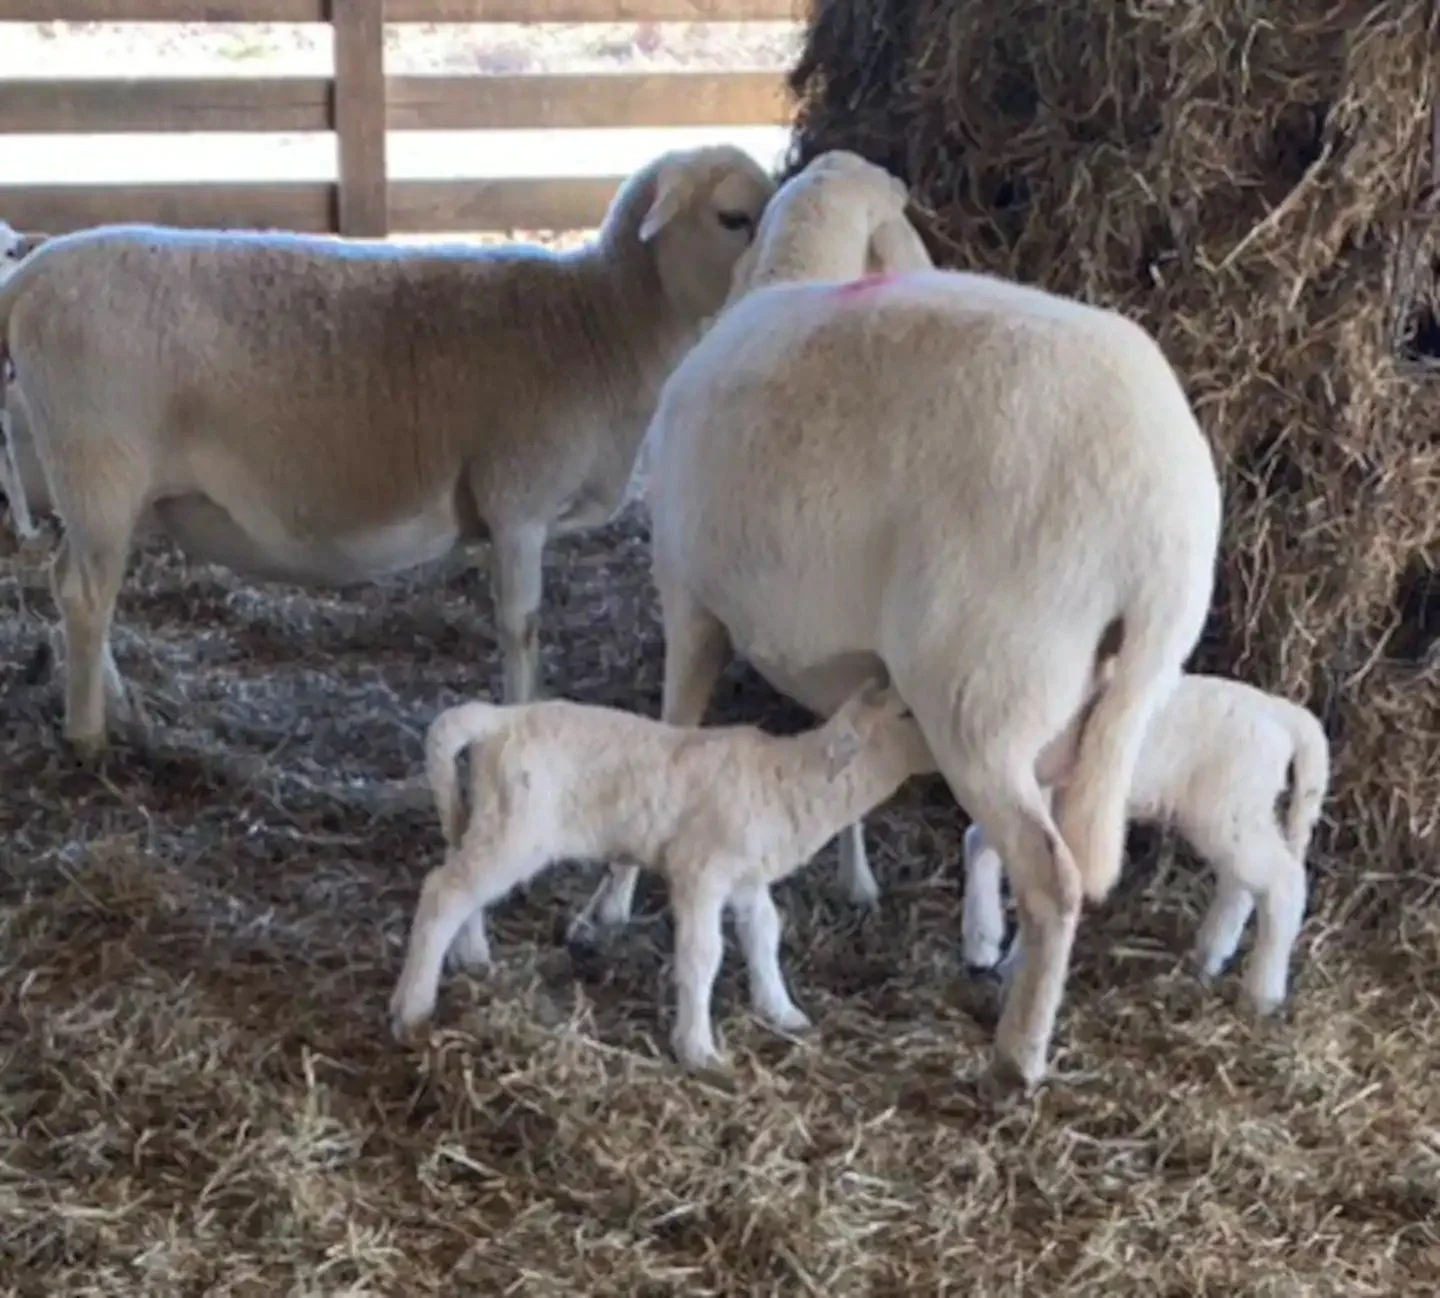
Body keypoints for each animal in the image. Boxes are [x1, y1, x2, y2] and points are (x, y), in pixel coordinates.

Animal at [0, 145, 775, 760]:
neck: (600, 321)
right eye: (732, 218)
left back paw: (119, 708)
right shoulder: (517, 503)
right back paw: (87, 735)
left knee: (75, 582)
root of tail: (26, 280)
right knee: (86, 594)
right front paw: (523, 714)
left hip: (107, 489)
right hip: (98, 463)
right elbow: (520, 626)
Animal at [386, 675, 932, 1070]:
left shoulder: (746, 876)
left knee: (463, 889)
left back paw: (472, 956)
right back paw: (412, 1008)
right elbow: (702, 954)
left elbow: (763, 934)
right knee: (443, 893)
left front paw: (781, 1010)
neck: (789, 780)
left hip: (490, 819)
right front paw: (698, 1049)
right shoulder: (701, 870)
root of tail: (496, 719)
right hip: (516, 829)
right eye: (905, 714)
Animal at [571, 151, 1224, 1090]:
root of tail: (1155, 519)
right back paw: (1009, 968)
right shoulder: (843, 662)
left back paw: (1019, 1053)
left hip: (982, 686)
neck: (795, 268)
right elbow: (836, 755)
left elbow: (671, 735)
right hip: (1099, 699)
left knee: (1053, 877)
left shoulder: (690, 603)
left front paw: (606, 906)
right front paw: (853, 874)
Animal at [959, 673, 1330, 1015]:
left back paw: (1262, 994)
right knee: (1243, 883)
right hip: (1240, 810)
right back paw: (1211, 953)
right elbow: (978, 842)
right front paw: (983, 943)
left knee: (1282, 882)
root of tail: (1281, 712)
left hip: (1229, 810)